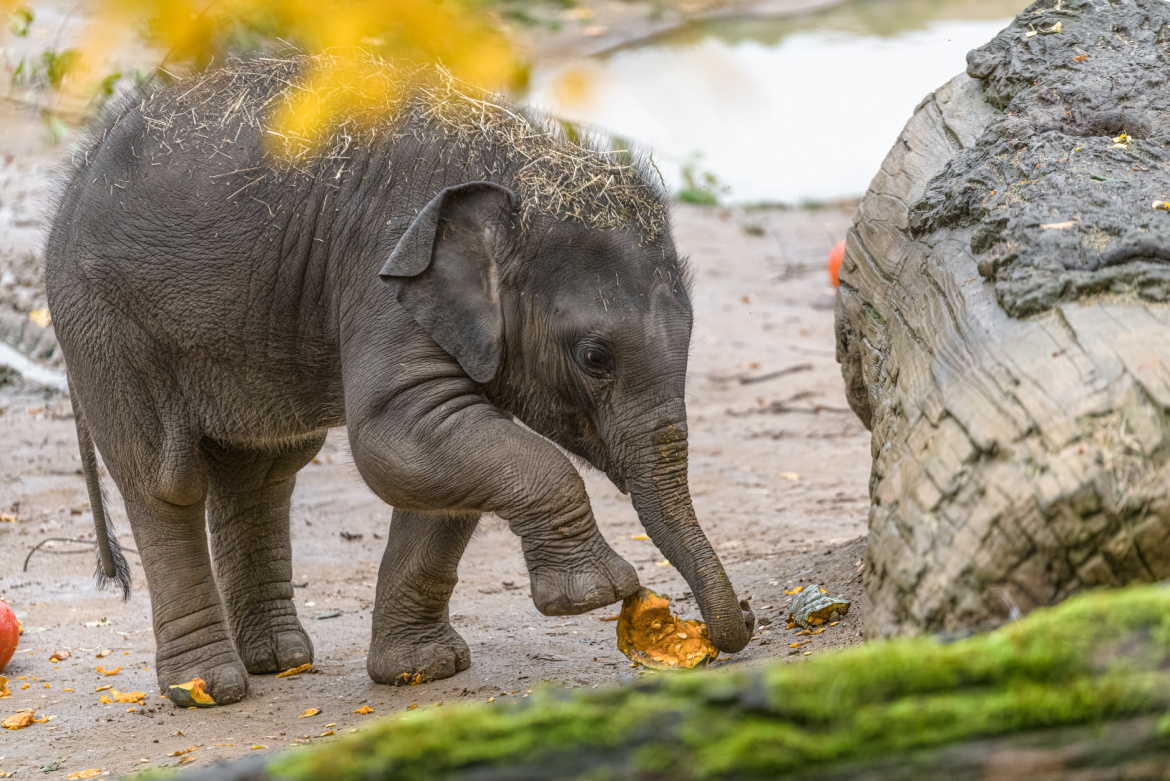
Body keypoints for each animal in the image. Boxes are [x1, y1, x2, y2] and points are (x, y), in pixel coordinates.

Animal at [47, 54, 748, 701]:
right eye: (595, 358)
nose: (736, 625)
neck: (516, 166)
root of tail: (71, 176)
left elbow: (435, 465)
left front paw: (422, 670)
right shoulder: (386, 270)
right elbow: (395, 434)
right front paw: (597, 594)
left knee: (265, 472)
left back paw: (279, 661)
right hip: (106, 326)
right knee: (165, 484)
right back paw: (207, 689)